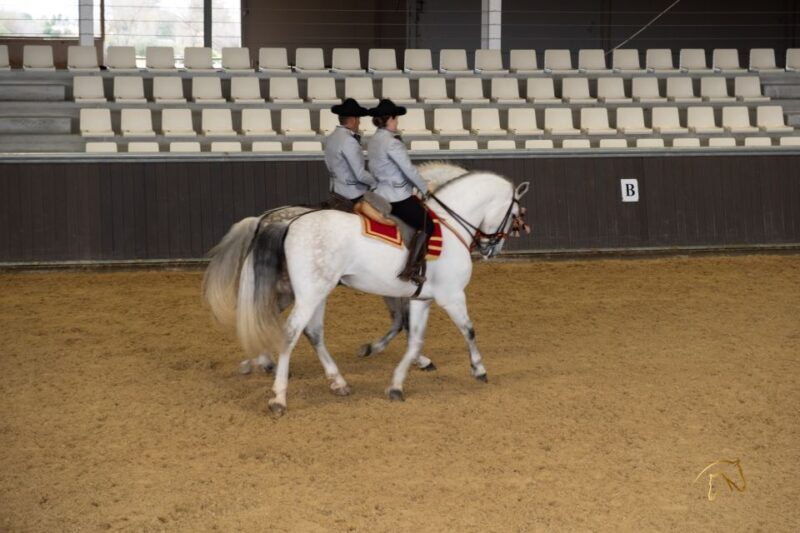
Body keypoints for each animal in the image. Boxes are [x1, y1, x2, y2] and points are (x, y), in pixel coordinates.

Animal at [232, 165, 530, 414]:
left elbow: (413, 339)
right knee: (289, 332)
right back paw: (278, 396)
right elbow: (468, 330)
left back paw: (334, 381)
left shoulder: (421, 298)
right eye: (514, 214)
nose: (491, 249)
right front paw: (479, 369)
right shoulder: (452, 296)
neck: (449, 225)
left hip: (313, 293)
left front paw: (397, 383)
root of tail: (286, 223)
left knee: (308, 331)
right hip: (307, 295)